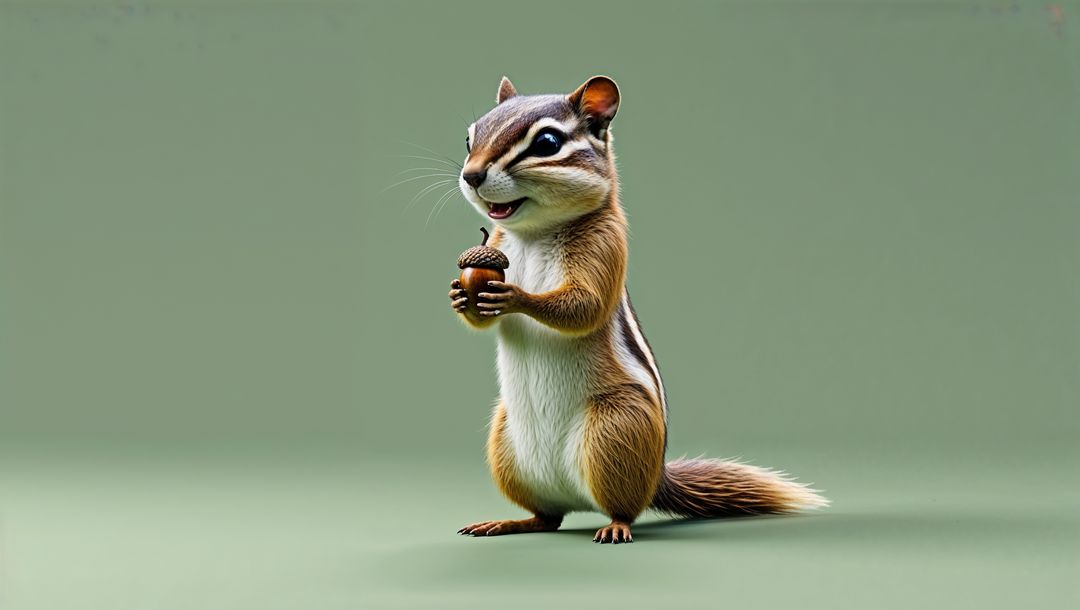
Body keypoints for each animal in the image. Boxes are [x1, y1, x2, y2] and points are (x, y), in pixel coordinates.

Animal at [447, 76, 826, 543]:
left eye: (548, 142)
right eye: (470, 138)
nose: (471, 175)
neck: (533, 234)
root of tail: (654, 476)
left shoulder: (605, 246)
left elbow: (585, 306)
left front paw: (515, 296)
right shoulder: (499, 243)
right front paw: (459, 295)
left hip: (616, 429)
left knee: (622, 508)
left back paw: (614, 526)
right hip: (505, 442)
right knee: (547, 517)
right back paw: (507, 522)